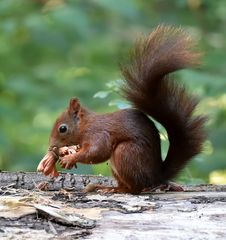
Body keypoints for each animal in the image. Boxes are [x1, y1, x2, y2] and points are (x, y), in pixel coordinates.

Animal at [37, 25, 207, 193]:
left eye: (63, 128)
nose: (52, 146)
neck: (85, 125)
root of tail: (156, 177)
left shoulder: (98, 133)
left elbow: (98, 151)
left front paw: (69, 158)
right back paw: (107, 187)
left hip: (125, 153)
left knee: (135, 188)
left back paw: (117, 189)